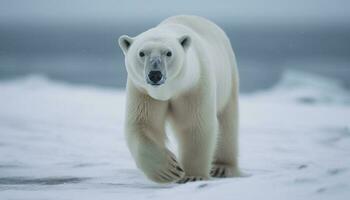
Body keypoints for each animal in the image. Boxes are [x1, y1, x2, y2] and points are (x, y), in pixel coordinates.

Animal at [117, 14, 241, 183]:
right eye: (141, 53)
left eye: (168, 53)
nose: (155, 74)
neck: (169, 91)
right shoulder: (143, 92)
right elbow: (143, 124)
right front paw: (169, 170)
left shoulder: (195, 86)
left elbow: (196, 125)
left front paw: (193, 176)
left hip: (228, 79)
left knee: (227, 122)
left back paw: (223, 168)